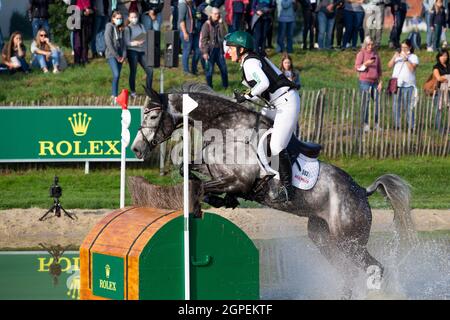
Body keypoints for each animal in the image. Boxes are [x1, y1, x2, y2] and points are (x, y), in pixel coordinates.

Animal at [130, 82, 414, 298]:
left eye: (152, 116)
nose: (136, 149)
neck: (228, 127)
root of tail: (362, 192)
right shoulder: (215, 171)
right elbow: (187, 170)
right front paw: (221, 201)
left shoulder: (238, 180)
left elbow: (201, 184)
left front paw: (213, 200)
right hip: (324, 238)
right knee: (347, 272)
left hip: (349, 240)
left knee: (374, 267)